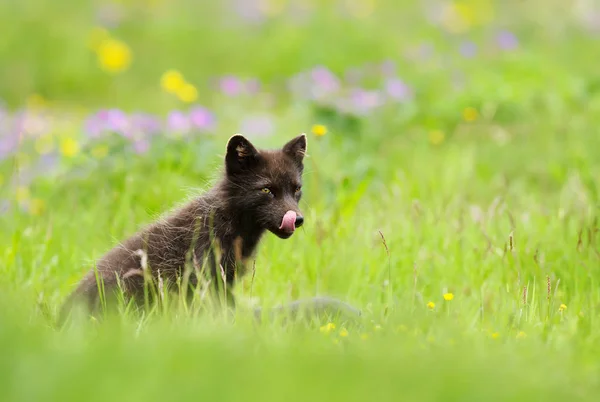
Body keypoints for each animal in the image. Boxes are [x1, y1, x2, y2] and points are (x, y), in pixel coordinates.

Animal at [59, 133, 360, 326]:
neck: (229, 225)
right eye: (266, 190)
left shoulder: (225, 282)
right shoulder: (203, 277)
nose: (296, 219)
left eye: (296, 189)